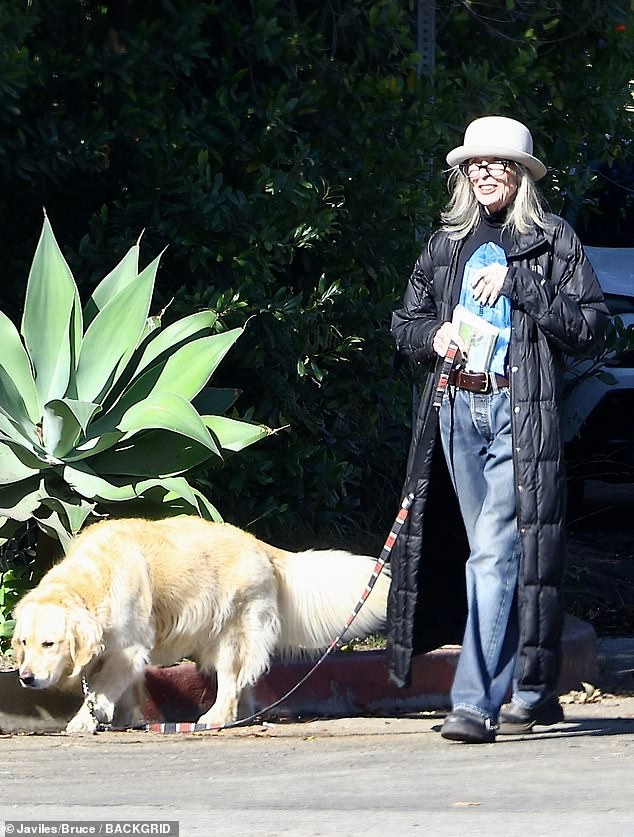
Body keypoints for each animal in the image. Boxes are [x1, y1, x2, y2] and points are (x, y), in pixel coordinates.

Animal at [11, 516, 390, 732]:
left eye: (49, 643)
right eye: (24, 644)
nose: (25, 678)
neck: (93, 581)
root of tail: (259, 545)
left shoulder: (128, 648)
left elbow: (103, 688)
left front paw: (83, 720)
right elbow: (123, 689)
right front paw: (120, 719)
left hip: (232, 630)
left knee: (232, 680)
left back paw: (217, 716)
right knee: (246, 680)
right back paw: (243, 714)